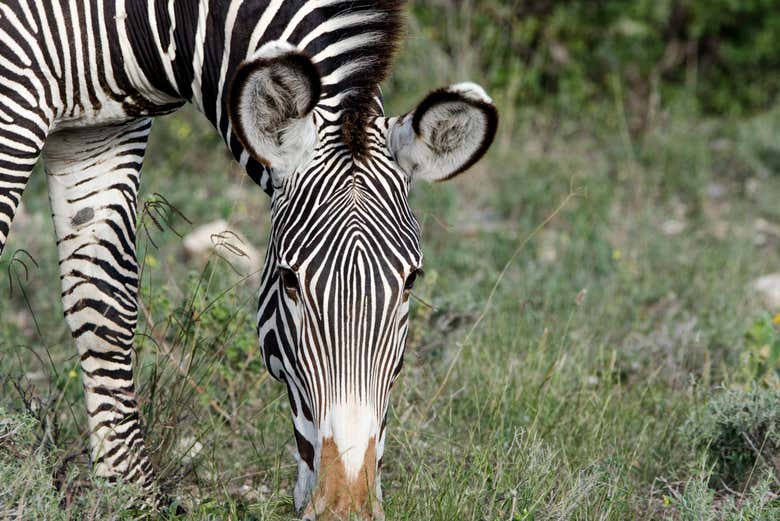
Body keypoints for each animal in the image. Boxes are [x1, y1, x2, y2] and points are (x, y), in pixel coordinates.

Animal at [0, 0, 496, 516]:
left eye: (411, 281)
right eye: (289, 280)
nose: (345, 509)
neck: (153, 22)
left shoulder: (103, 131)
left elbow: (105, 300)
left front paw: (130, 493)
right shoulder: (14, 93)